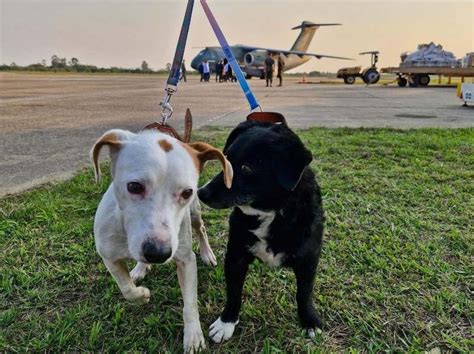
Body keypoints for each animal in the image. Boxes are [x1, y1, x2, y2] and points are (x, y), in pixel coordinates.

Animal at [90, 129, 232, 352]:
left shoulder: (185, 260)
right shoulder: (109, 257)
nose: (158, 253)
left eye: (187, 192)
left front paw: (193, 336)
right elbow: (126, 289)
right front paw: (141, 294)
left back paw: (207, 253)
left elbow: (190, 304)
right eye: (134, 186)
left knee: (201, 229)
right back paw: (140, 269)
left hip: (194, 214)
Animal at [197, 117, 326, 342]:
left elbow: (304, 293)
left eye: (247, 169)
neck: (270, 213)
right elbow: (233, 293)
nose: (201, 193)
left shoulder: (308, 260)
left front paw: (309, 321)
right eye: (226, 159)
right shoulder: (236, 256)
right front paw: (226, 323)